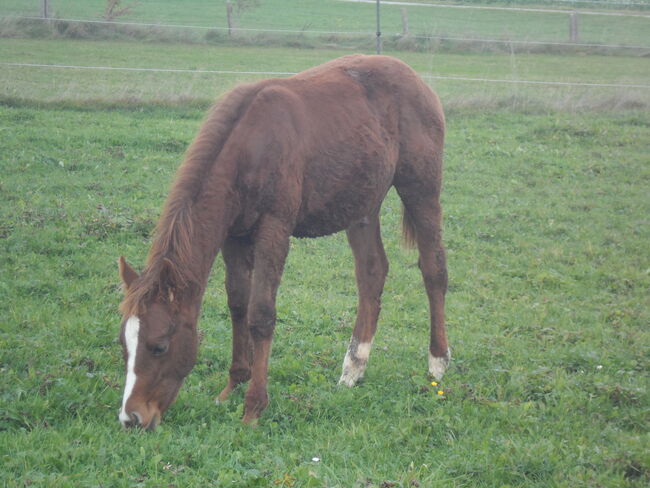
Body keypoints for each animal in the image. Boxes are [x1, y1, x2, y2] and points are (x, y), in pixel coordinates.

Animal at [116, 52, 446, 430]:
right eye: (124, 345)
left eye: (159, 346)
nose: (131, 417)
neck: (249, 147)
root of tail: (416, 79)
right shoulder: (233, 235)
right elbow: (238, 305)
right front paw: (232, 386)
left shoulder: (274, 229)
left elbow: (261, 314)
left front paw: (253, 407)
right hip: (363, 204)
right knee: (372, 273)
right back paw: (353, 368)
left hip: (420, 188)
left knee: (434, 269)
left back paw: (437, 363)